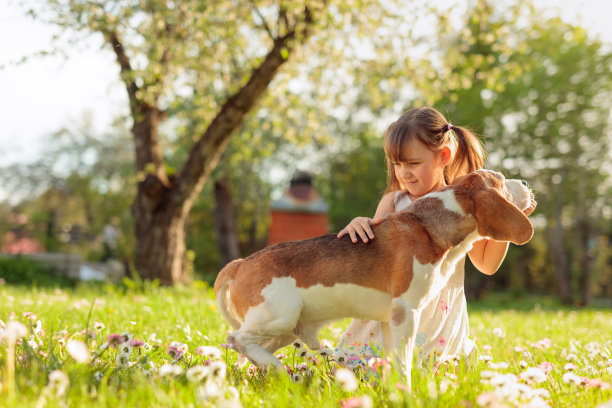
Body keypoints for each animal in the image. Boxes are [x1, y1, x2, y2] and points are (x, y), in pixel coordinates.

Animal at [213, 168, 532, 382]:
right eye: (502, 180)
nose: (527, 183)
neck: (428, 224)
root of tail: (241, 263)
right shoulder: (406, 313)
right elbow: (404, 364)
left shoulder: (391, 321)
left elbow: (393, 361)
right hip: (281, 315)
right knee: (236, 339)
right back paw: (277, 369)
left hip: (286, 329)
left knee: (250, 349)